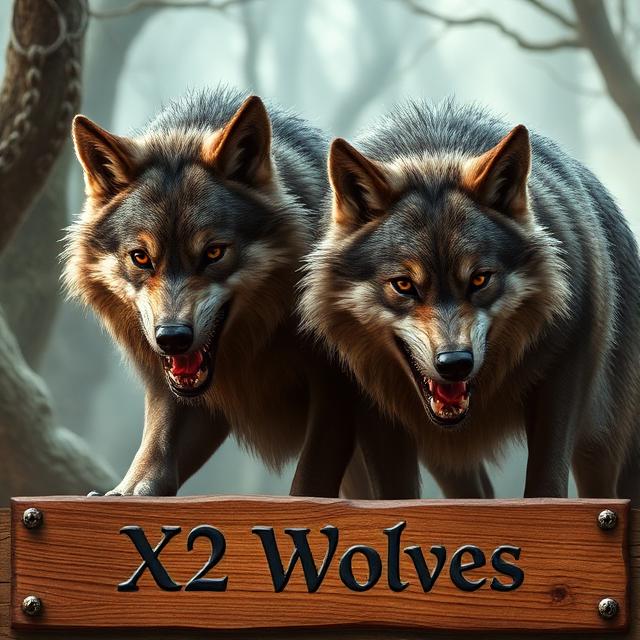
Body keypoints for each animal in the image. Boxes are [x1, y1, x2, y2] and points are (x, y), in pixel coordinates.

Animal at [64, 87, 419, 499]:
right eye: (141, 258)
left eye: (214, 253)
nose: (172, 338)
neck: (258, 346)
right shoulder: (186, 398)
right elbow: (157, 455)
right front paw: (126, 493)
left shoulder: (335, 395)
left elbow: (310, 480)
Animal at [301, 99, 640, 501]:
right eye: (403, 285)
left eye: (479, 279)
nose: (455, 364)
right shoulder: (371, 410)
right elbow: (396, 497)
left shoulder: (563, 377)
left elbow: (547, 487)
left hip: (604, 445)